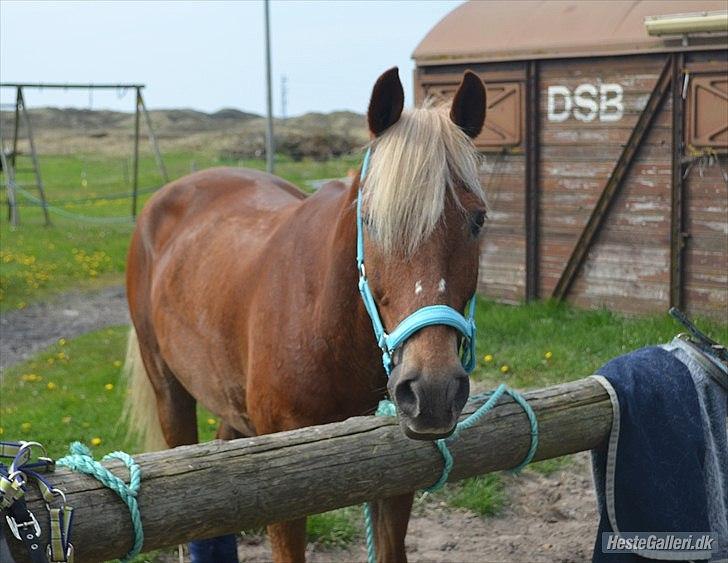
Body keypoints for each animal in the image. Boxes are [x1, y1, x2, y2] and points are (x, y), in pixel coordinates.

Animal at [125, 68, 490, 560]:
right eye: (370, 220)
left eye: (478, 220)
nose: (432, 390)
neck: (323, 321)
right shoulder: (283, 493)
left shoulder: (396, 479)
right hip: (170, 394)